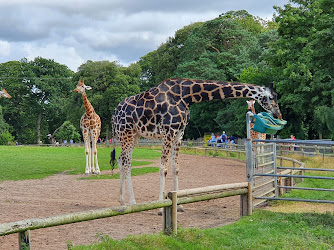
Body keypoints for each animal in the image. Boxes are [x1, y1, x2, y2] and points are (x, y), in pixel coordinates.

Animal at [112, 78, 282, 207]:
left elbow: (175, 168)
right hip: (126, 133)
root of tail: (114, 114)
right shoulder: (168, 131)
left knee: (121, 160)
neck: (186, 96)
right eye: (271, 97)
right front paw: (160, 206)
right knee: (126, 163)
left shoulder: (179, 134)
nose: (278, 114)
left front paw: (178, 205)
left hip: (134, 135)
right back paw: (132, 202)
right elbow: (163, 168)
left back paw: (122, 201)